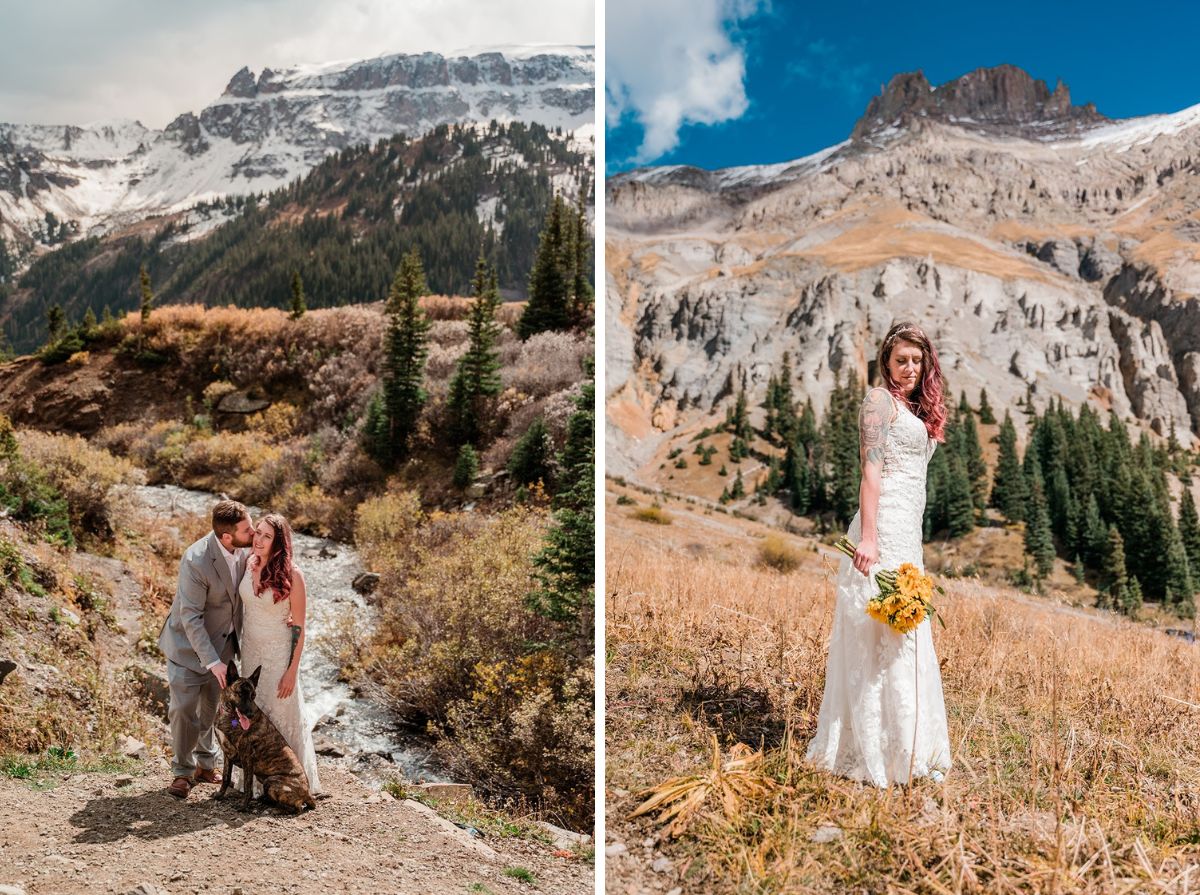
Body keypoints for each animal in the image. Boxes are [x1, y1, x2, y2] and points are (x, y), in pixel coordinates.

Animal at [212, 657, 316, 811]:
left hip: (271, 780)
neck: (228, 714)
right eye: (240, 694)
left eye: (253, 695)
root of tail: (308, 793)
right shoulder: (227, 754)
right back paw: (264, 800)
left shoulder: (246, 757)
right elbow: (226, 777)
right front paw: (220, 795)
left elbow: (247, 785)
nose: (249, 714)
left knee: (297, 807)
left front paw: (243, 806)